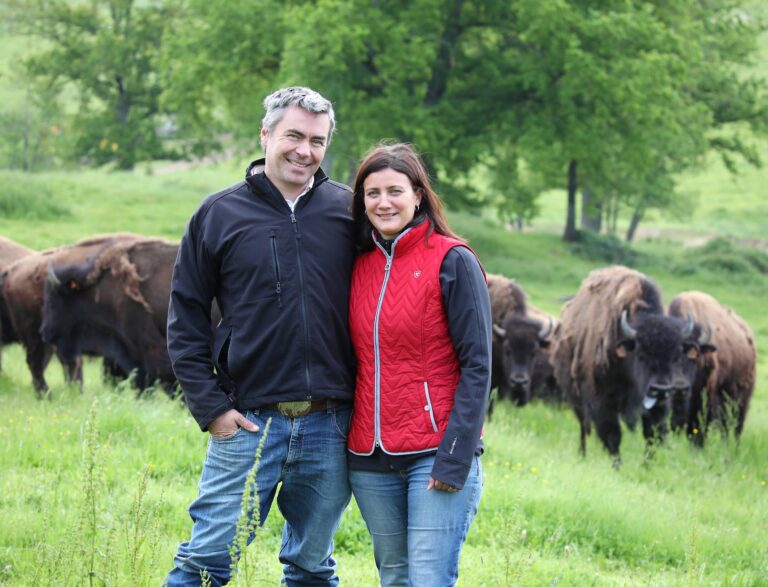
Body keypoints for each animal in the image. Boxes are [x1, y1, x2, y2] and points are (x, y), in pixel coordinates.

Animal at [548, 266, 704, 468]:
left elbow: (652, 434)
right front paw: (617, 466)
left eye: (676, 356)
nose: (660, 389)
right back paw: (582, 454)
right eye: (641, 354)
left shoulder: (657, 407)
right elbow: (613, 434)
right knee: (584, 426)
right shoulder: (603, 402)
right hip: (576, 398)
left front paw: (648, 466)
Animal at [664, 290, 756, 446]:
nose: (679, 388)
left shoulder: (705, 396)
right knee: (726, 426)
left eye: (691, 357)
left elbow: (699, 425)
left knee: (736, 426)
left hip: (741, 398)